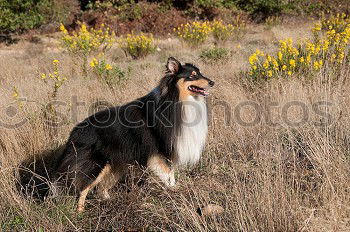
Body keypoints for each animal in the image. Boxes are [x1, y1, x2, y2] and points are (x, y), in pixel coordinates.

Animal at [55, 56, 213, 212]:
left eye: (200, 72)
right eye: (192, 76)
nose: (212, 82)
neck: (176, 98)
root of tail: (75, 131)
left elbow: (171, 173)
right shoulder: (160, 152)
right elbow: (168, 174)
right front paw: (174, 190)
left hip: (115, 164)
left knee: (102, 187)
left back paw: (110, 201)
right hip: (96, 164)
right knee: (83, 188)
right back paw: (80, 212)